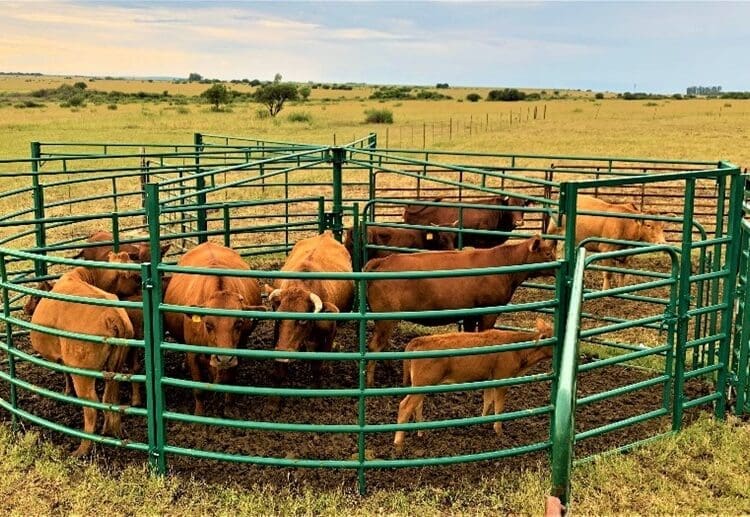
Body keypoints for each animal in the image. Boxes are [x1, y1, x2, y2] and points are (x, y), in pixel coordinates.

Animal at [30, 252, 140, 457]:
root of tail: (111, 316)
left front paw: (67, 392)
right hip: (114, 367)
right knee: (109, 398)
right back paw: (112, 431)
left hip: (82, 373)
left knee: (91, 405)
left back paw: (82, 448)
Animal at [163, 242, 265, 416]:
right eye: (208, 324)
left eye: (239, 323)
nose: (223, 359)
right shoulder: (192, 353)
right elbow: (198, 388)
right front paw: (199, 413)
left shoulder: (238, 351)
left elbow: (230, 379)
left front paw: (229, 408)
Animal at [364, 235, 557, 386]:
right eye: (548, 253)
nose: (557, 265)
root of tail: (382, 261)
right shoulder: (489, 311)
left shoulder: (470, 313)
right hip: (386, 318)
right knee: (375, 345)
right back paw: (370, 382)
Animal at [394, 318, 554, 450]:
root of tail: (418, 340)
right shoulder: (502, 380)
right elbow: (499, 407)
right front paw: (499, 432)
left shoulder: (490, 379)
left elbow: (488, 402)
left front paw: (482, 421)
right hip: (423, 383)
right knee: (405, 406)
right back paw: (398, 444)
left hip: (420, 386)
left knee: (417, 405)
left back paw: (421, 432)